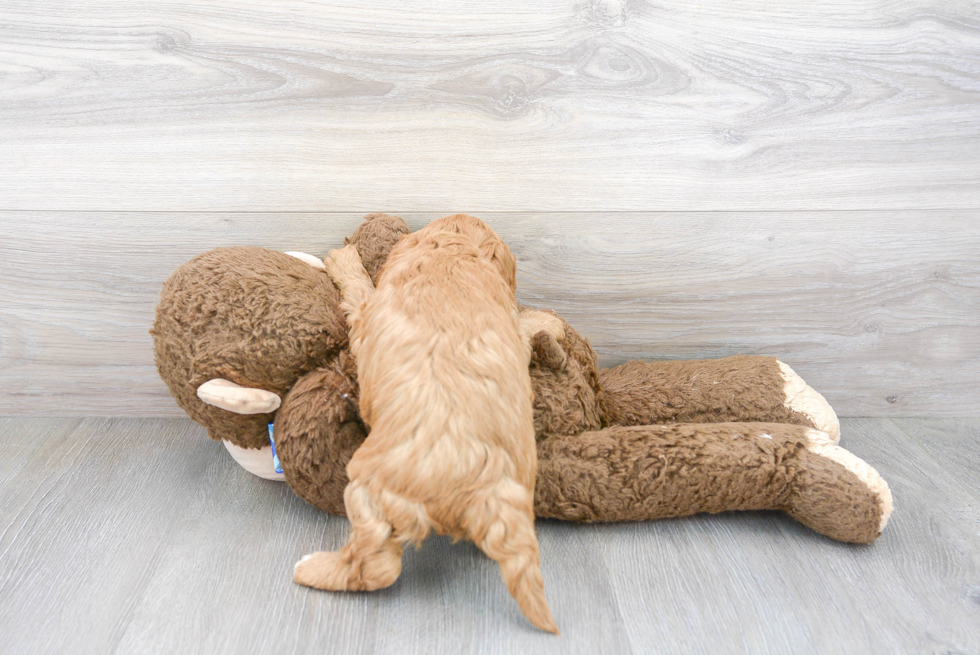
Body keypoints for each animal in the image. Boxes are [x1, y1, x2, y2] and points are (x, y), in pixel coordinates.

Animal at [292, 215, 560, 636]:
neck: (450, 254)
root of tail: (486, 480)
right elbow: (524, 328)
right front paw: (547, 322)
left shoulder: (368, 315)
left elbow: (359, 289)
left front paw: (344, 259)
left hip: (370, 491)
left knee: (376, 566)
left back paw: (314, 569)